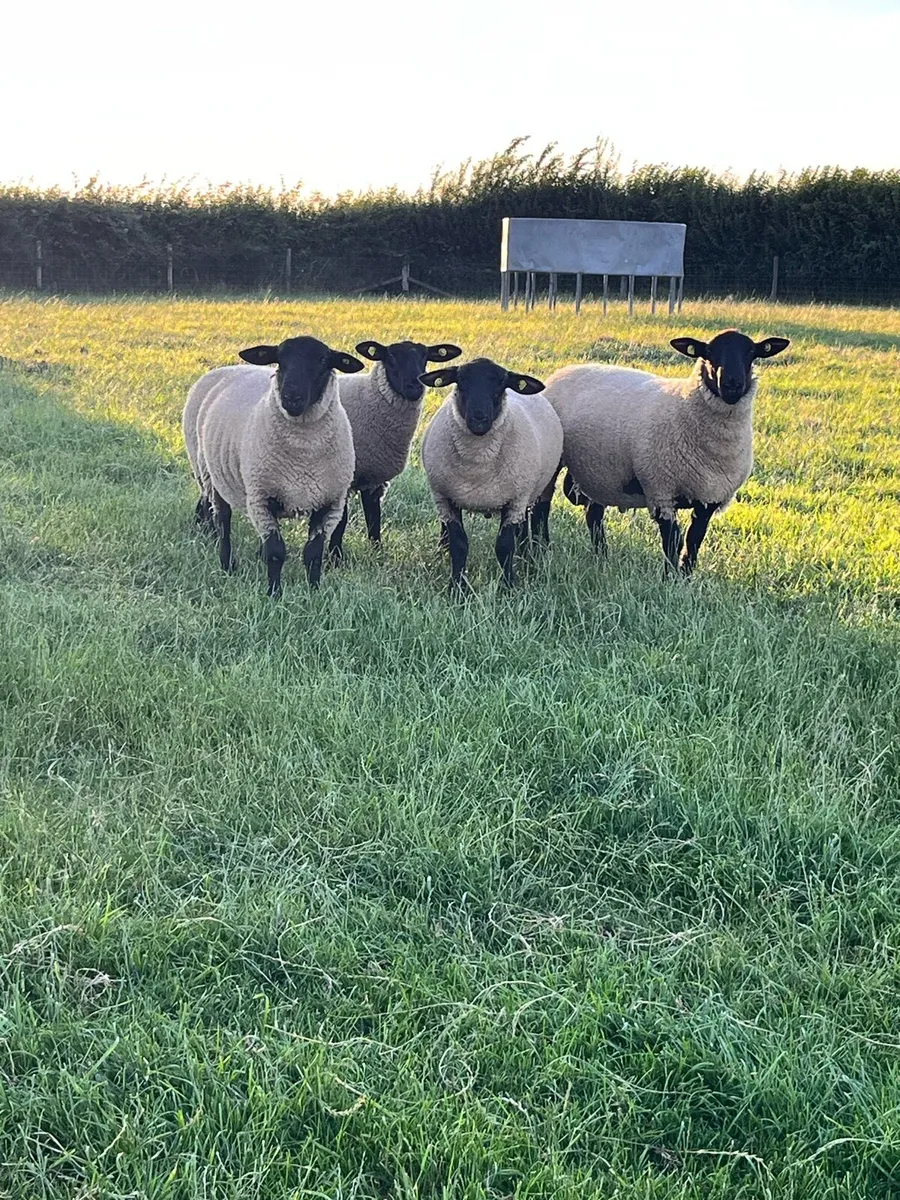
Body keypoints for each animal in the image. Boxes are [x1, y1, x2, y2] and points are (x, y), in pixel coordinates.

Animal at [184, 336, 364, 595]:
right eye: (280, 359)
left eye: (323, 360)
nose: (291, 397)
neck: (304, 456)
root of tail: (226, 368)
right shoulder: (261, 497)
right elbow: (276, 552)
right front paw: (274, 594)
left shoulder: (329, 502)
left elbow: (314, 554)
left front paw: (313, 592)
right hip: (211, 475)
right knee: (223, 522)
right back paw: (227, 565)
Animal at [328, 338, 462, 560]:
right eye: (391, 357)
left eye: (425, 357)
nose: (415, 386)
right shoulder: (345, 476)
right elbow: (341, 522)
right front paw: (335, 558)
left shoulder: (374, 478)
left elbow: (374, 518)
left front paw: (376, 553)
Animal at [419, 357, 563, 591]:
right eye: (460, 381)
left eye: (501, 383)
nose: (479, 419)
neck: (478, 465)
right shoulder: (446, 497)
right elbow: (459, 544)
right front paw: (457, 587)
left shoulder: (515, 499)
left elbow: (504, 546)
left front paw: (508, 586)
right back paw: (442, 550)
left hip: (531, 489)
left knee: (525, 523)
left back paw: (525, 555)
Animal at [541, 329, 790, 574]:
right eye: (709, 353)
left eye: (751, 353)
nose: (732, 384)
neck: (684, 404)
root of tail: (568, 368)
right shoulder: (661, 490)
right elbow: (673, 541)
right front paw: (669, 578)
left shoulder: (709, 497)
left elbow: (694, 540)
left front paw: (686, 576)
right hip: (556, 463)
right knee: (543, 506)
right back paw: (543, 548)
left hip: (601, 472)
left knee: (594, 514)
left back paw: (602, 557)